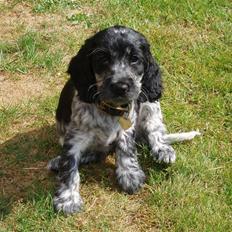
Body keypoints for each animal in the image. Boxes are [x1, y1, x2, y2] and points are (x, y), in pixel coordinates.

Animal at [47, 25, 199, 214]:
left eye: (135, 59)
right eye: (103, 58)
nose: (121, 86)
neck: (110, 109)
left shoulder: (127, 128)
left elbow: (126, 149)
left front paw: (130, 174)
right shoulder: (74, 138)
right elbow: (69, 167)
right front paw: (68, 199)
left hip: (150, 103)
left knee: (155, 129)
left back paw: (163, 149)